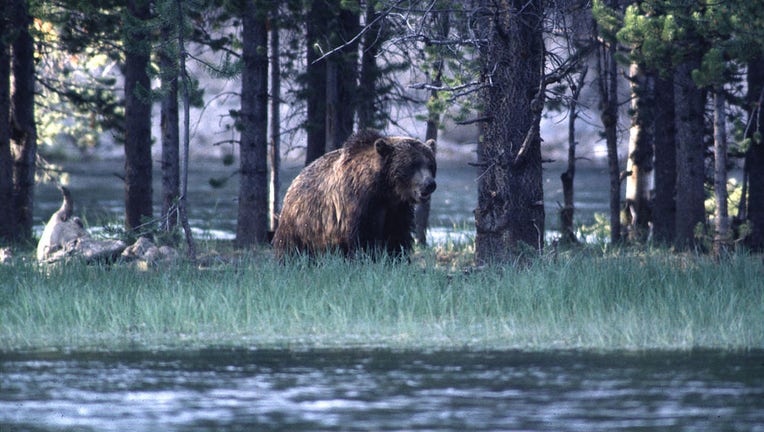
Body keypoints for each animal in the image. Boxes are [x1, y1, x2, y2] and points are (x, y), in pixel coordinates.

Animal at [274, 130, 436, 258]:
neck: (385, 190)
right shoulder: (358, 205)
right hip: (301, 225)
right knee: (290, 249)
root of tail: (295, 181)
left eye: (430, 164)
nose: (429, 184)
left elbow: (398, 237)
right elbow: (362, 240)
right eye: (412, 165)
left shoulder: (397, 209)